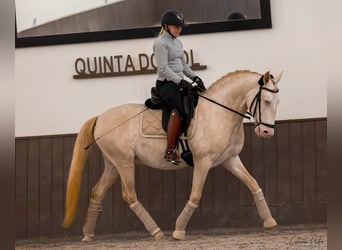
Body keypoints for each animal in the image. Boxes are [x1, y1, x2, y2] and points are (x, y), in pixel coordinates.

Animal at [61, 69, 284, 241]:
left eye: (277, 102)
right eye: (266, 101)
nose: (267, 132)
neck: (217, 113)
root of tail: (100, 117)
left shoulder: (230, 159)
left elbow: (253, 184)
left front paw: (270, 221)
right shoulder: (203, 162)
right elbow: (195, 195)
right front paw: (178, 231)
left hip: (113, 165)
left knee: (97, 192)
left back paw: (88, 234)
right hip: (124, 163)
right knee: (129, 195)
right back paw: (157, 232)